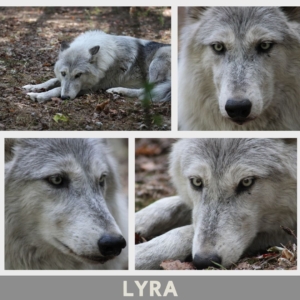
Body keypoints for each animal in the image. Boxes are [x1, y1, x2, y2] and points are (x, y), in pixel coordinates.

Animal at [22, 30, 171, 103]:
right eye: (63, 73)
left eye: (78, 75)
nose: (65, 98)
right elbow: (52, 81)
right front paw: (33, 87)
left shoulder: (92, 87)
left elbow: (57, 88)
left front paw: (40, 96)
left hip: (158, 61)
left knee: (145, 91)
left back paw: (117, 90)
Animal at [136, 139, 298, 270]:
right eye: (196, 182)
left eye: (246, 182)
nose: (204, 261)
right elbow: (167, 205)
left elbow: (184, 233)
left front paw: (140, 254)